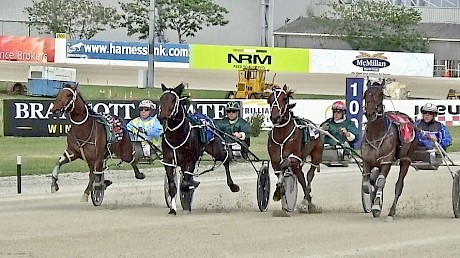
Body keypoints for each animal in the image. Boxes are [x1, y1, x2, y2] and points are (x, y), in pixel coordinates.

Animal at [157, 83, 239, 215]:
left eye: (173, 100)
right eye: (161, 99)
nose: (162, 116)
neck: (177, 136)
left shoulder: (190, 160)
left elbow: (185, 183)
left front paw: (190, 187)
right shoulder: (169, 161)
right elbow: (173, 186)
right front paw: (172, 209)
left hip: (216, 149)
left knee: (225, 160)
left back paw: (232, 185)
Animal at [266, 84, 324, 212]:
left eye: (284, 99)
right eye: (269, 99)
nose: (275, 117)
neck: (282, 134)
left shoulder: (294, 157)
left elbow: (285, 163)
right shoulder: (274, 160)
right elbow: (279, 171)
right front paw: (279, 192)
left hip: (317, 154)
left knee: (309, 175)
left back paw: (306, 201)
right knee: (301, 176)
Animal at [362, 79, 418, 218]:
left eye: (380, 95)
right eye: (365, 95)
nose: (370, 113)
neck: (376, 133)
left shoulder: (386, 161)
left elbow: (380, 182)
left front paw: (376, 206)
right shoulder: (366, 161)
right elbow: (367, 185)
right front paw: (373, 200)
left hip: (406, 159)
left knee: (399, 185)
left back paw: (392, 211)